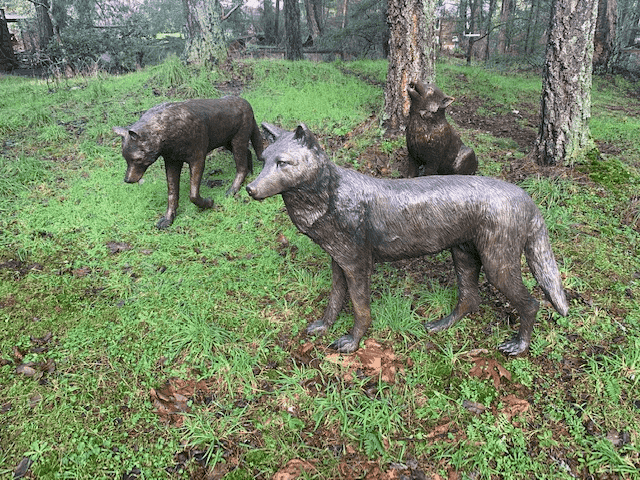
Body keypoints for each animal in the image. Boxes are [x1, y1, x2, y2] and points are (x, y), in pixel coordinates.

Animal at [113, 97, 263, 229]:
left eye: (137, 159)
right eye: (126, 159)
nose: (127, 180)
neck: (170, 131)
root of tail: (245, 102)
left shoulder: (198, 160)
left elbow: (193, 195)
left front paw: (209, 203)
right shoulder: (172, 163)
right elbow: (172, 193)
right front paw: (168, 219)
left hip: (237, 142)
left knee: (241, 167)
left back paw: (232, 190)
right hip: (228, 143)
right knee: (248, 154)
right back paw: (250, 174)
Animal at [246, 123, 568, 355]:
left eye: (283, 163)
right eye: (262, 161)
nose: (250, 189)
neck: (329, 199)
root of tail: (525, 196)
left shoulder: (357, 265)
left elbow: (360, 308)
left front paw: (352, 342)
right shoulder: (339, 262)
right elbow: (335, 301)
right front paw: (324, 327)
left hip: (496, 265)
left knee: (532, 304)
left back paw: (519, 346)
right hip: (463, 255)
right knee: (470, 300)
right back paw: (441, 325)